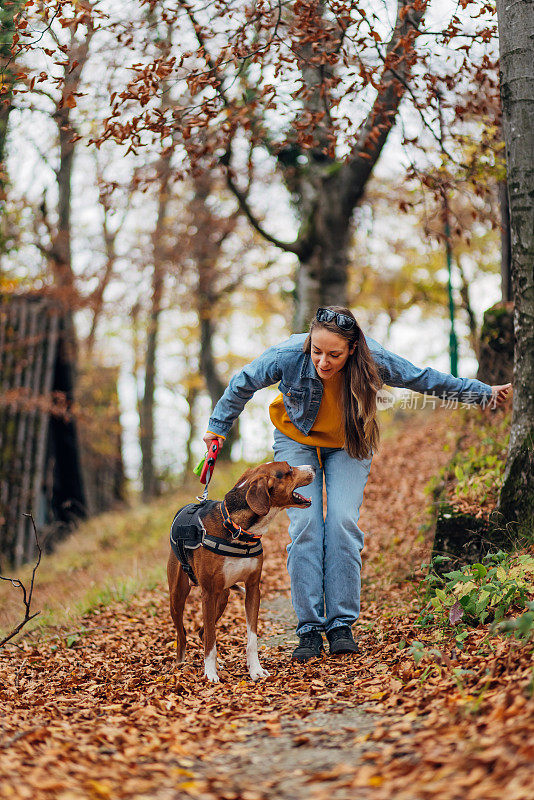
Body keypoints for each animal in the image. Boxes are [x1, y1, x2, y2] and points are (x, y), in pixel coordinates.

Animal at [168, 462, 316, 680]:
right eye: (289, 469)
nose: (314, 466)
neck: (237, 529)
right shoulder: (208, 593)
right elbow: (211, 641)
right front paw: (210, 674)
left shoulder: (253, 589)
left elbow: (251, 639)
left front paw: (255, 669)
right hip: (179, 596)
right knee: (183, 634)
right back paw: (180, 664)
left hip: (222, 597)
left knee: (203, 632)